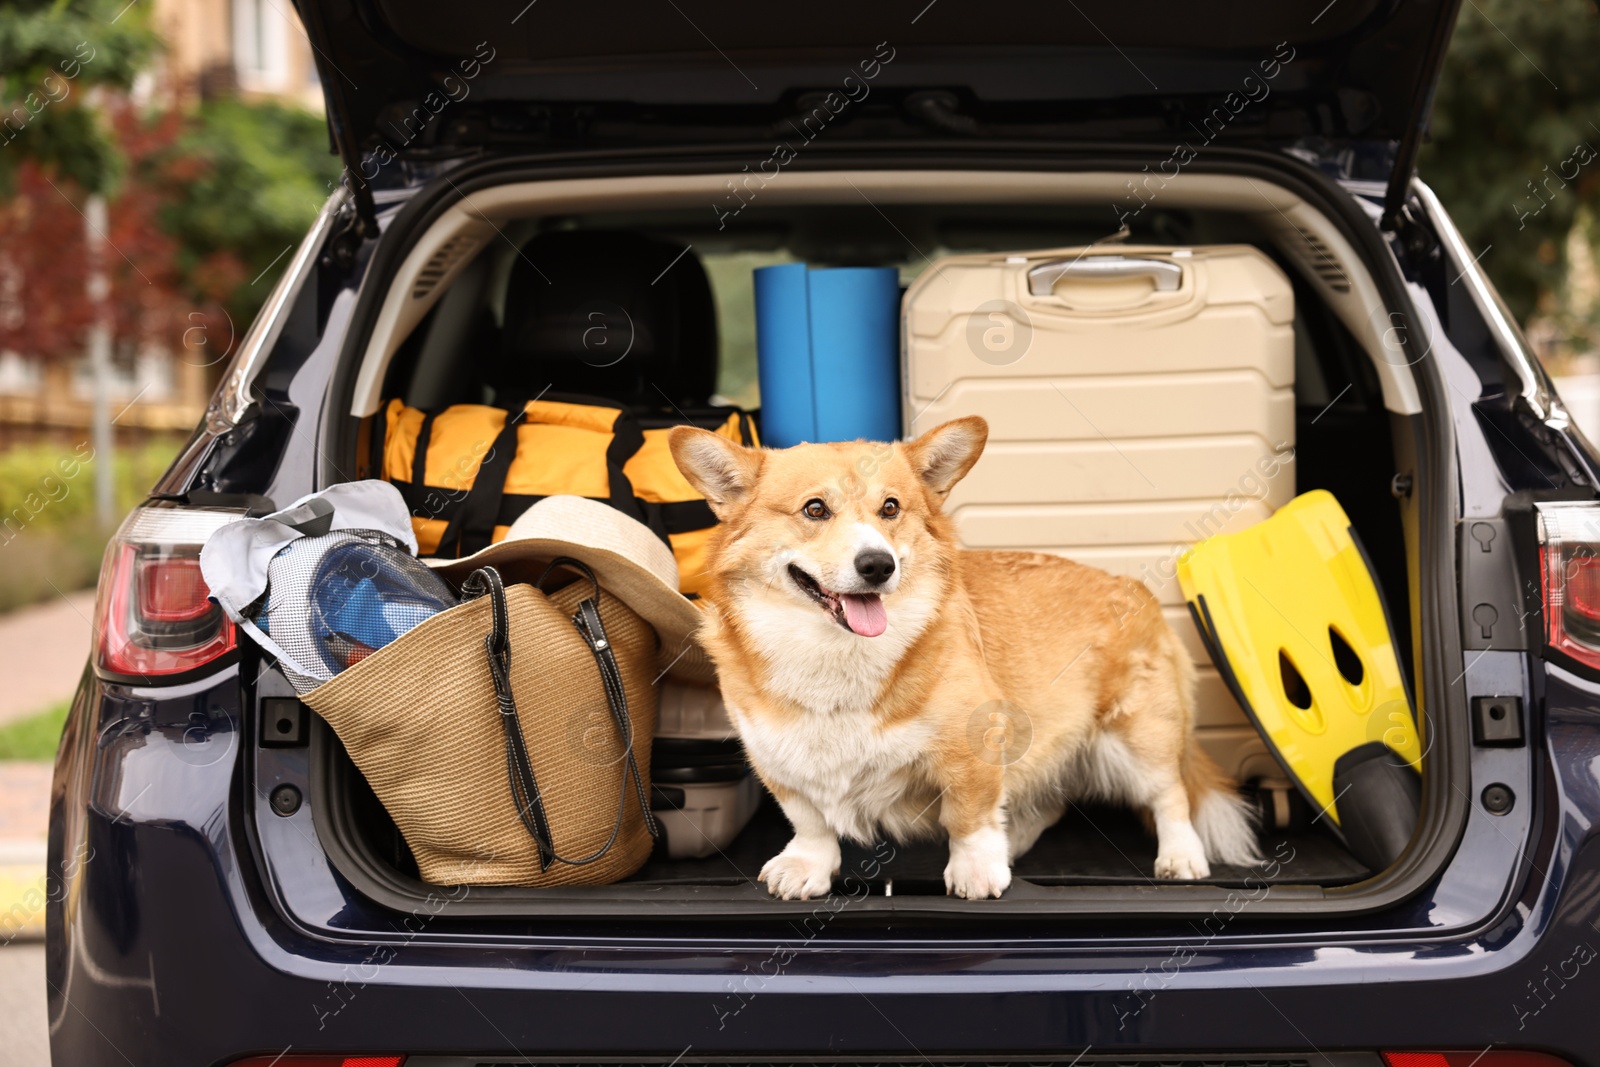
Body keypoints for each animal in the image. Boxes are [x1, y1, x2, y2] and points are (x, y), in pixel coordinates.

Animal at [665, 415, 1260, 902]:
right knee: (1046, 801)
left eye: (890, 508)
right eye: (815, 509)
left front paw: (975, 871)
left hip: (1138, 738)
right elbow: (809, 820)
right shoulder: (777, 757)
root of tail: (1132, 586)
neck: (835, 656)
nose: (878, 565)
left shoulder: (973, 746)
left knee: (1170, 795)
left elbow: (969, 815)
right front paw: (807, 867)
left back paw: (1180, 857)